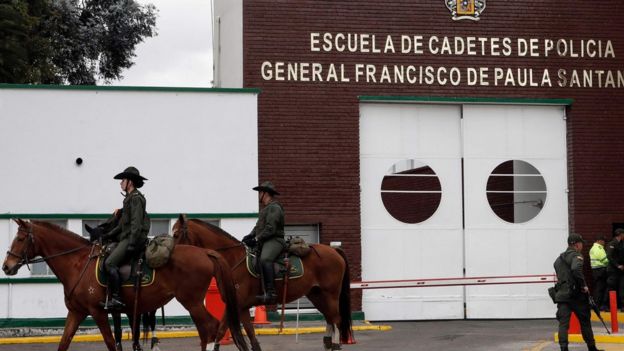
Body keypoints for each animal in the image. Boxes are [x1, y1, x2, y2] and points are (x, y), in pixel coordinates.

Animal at [3, 220, 251, 351]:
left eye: (21, 239)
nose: (6, 266)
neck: (77, 263)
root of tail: (205, 252)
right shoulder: (77, 312)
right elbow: (64, 343)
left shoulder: (98, 312)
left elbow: (112, 342)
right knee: (206, 330)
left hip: (191, 301)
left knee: (210, 327)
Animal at [173, 214, 354, 351]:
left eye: (175, 234)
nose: (172, 255)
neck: (233, 260)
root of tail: (333, 250)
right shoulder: (239, 307)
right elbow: (244, 334)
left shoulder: (238, 305)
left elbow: (225, 332)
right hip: (317, 295)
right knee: (330, 319)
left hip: (330, 295)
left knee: (336, 320)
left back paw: (335, 345)